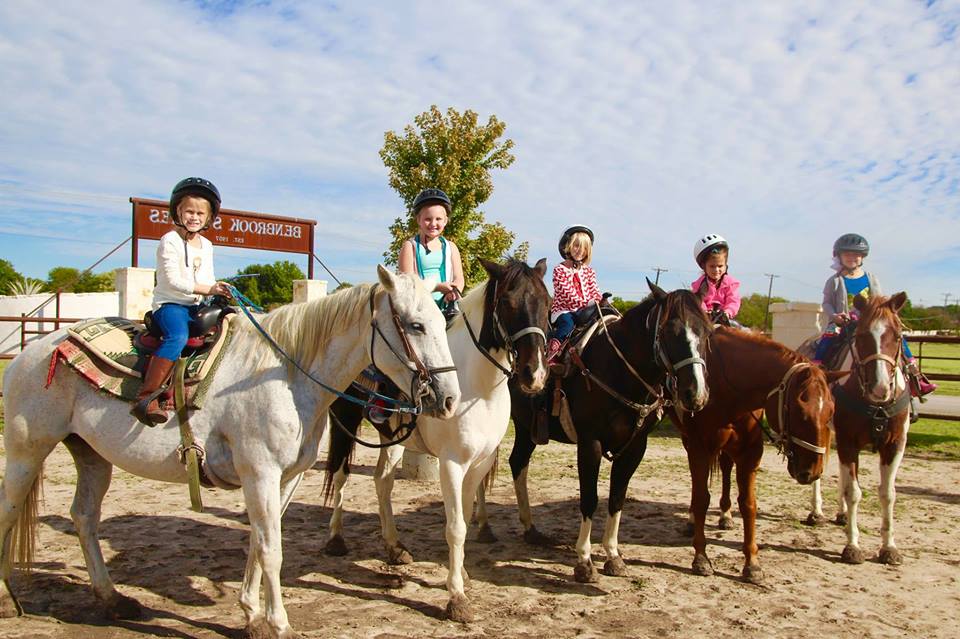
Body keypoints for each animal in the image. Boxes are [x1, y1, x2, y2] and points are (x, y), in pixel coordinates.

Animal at [0, 268, 460, 636]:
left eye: (443, 321)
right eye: (416, 325)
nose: (450, 399)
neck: (285, 375)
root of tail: (35, 349)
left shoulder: (286, 478)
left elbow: (259, 542)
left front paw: (252, 615)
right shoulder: (260, 473)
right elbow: (272, 550)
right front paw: (278, 625)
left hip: (91, 454)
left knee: (84, 518)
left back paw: (112, 599)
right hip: (27, 450)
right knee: (10, 512)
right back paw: (9, 602)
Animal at [322, 258, 548, 624]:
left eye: (547, 303)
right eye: (507, 302)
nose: (535, 374)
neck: (478, 387)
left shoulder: (479, 463)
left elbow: (466, 518)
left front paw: (462, 574)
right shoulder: (452, 463)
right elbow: (454, 526)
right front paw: (456, 597)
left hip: (393, 438)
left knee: (382, 482)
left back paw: (394, 547)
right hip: (345, 421)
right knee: (341, 476)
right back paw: (335, 539)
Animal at [484, 282, 716, 584]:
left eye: (707, 331)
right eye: (669, 331)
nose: (695, 394)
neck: (617, 369)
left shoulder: (636, 447)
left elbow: (616, 499)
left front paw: (614, 556)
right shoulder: (590, 443)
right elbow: (589, 499)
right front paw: (584, 561)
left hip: (526, 429)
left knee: (518, 463)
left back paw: (530, 529)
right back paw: (482, 526)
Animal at [672, 328, 836, 588]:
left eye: (830, 412)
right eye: (799, 412)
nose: (813, 471)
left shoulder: (749, 452)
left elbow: (749, 504)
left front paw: (752, 564)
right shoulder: (699, 447)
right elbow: (701, 499)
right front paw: (701, 557)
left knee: (726, 468)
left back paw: (726, 515)